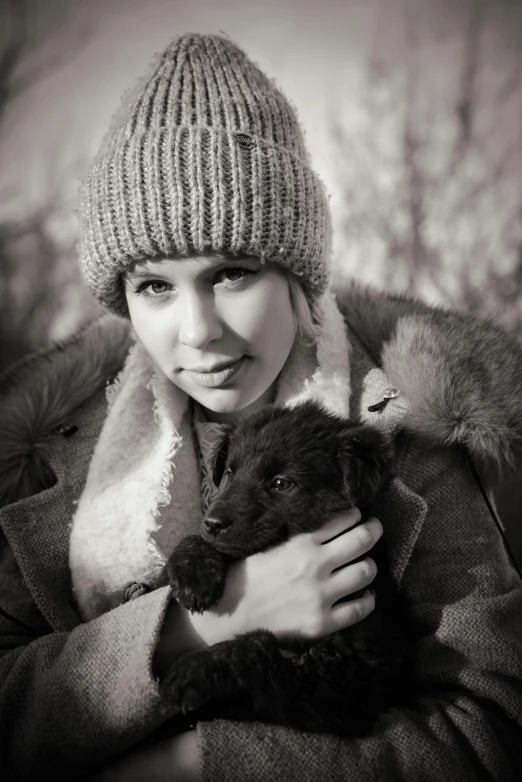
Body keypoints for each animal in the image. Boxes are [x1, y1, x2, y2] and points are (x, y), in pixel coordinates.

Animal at [167, 402, 410, 740]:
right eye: (229, 473)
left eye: (281, 483)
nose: (213, 523)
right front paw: (193, 573)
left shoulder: (340, 688)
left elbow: (257, 648)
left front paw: (195, 670)